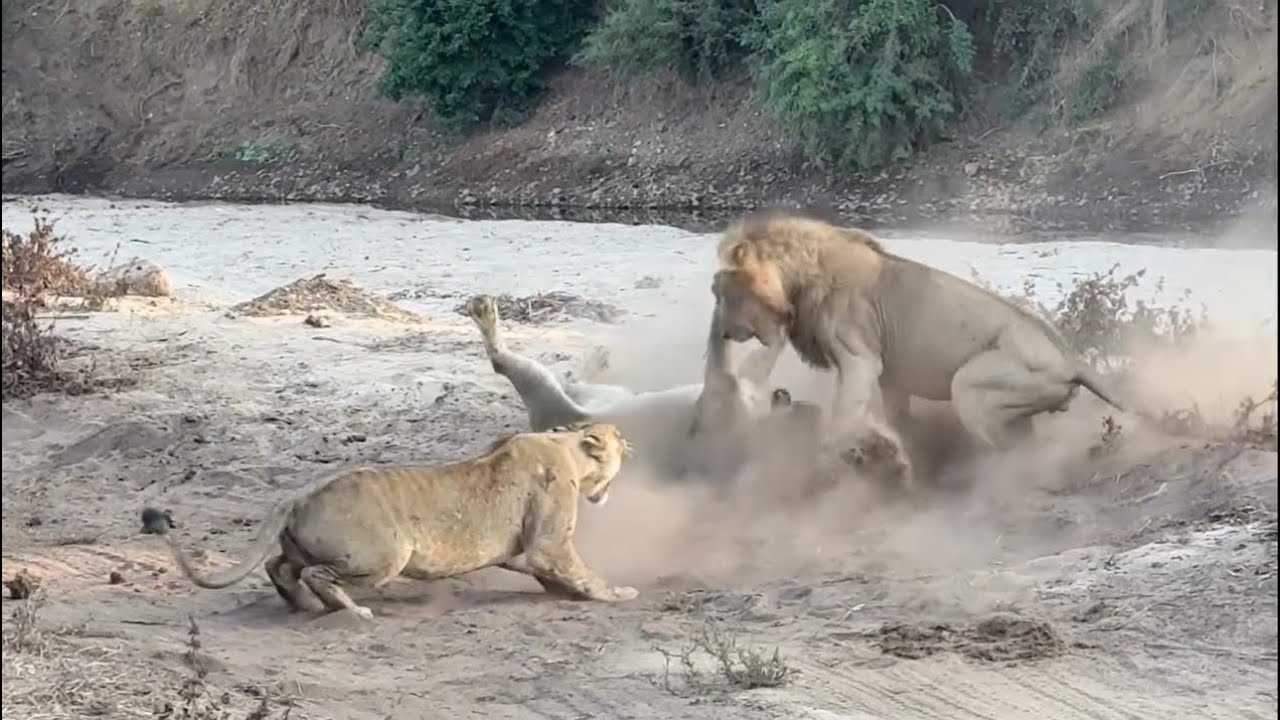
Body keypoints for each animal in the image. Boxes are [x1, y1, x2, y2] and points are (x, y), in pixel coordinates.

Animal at [139, 422, 637, 619]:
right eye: (618, 436)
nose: (630, 442)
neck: (567, 444)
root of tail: (296, 495)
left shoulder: (523, 551)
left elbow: (555, 574)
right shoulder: (548, 543)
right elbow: (580, 571)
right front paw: (618, 594)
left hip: (302, 546)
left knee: (278, 566)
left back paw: (300, 604)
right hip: (386, 554)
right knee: (317, 574)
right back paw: (351, 610)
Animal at [464, 294, 793, 478]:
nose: (784, 396)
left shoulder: (723, 393)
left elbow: (727, 351)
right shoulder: (732, 388)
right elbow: (757, 353)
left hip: (554, 393)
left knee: (508, 364)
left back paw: (484, 311)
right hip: (595, 395)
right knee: (569, 379)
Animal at [709, 210, 1128, 453]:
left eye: (721, 292)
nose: (725, 333)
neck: (797, 279)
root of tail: (1072, 358)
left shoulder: (860, 360)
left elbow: (844, 415)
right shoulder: (891, 377)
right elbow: (895, 415)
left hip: (973, 386)